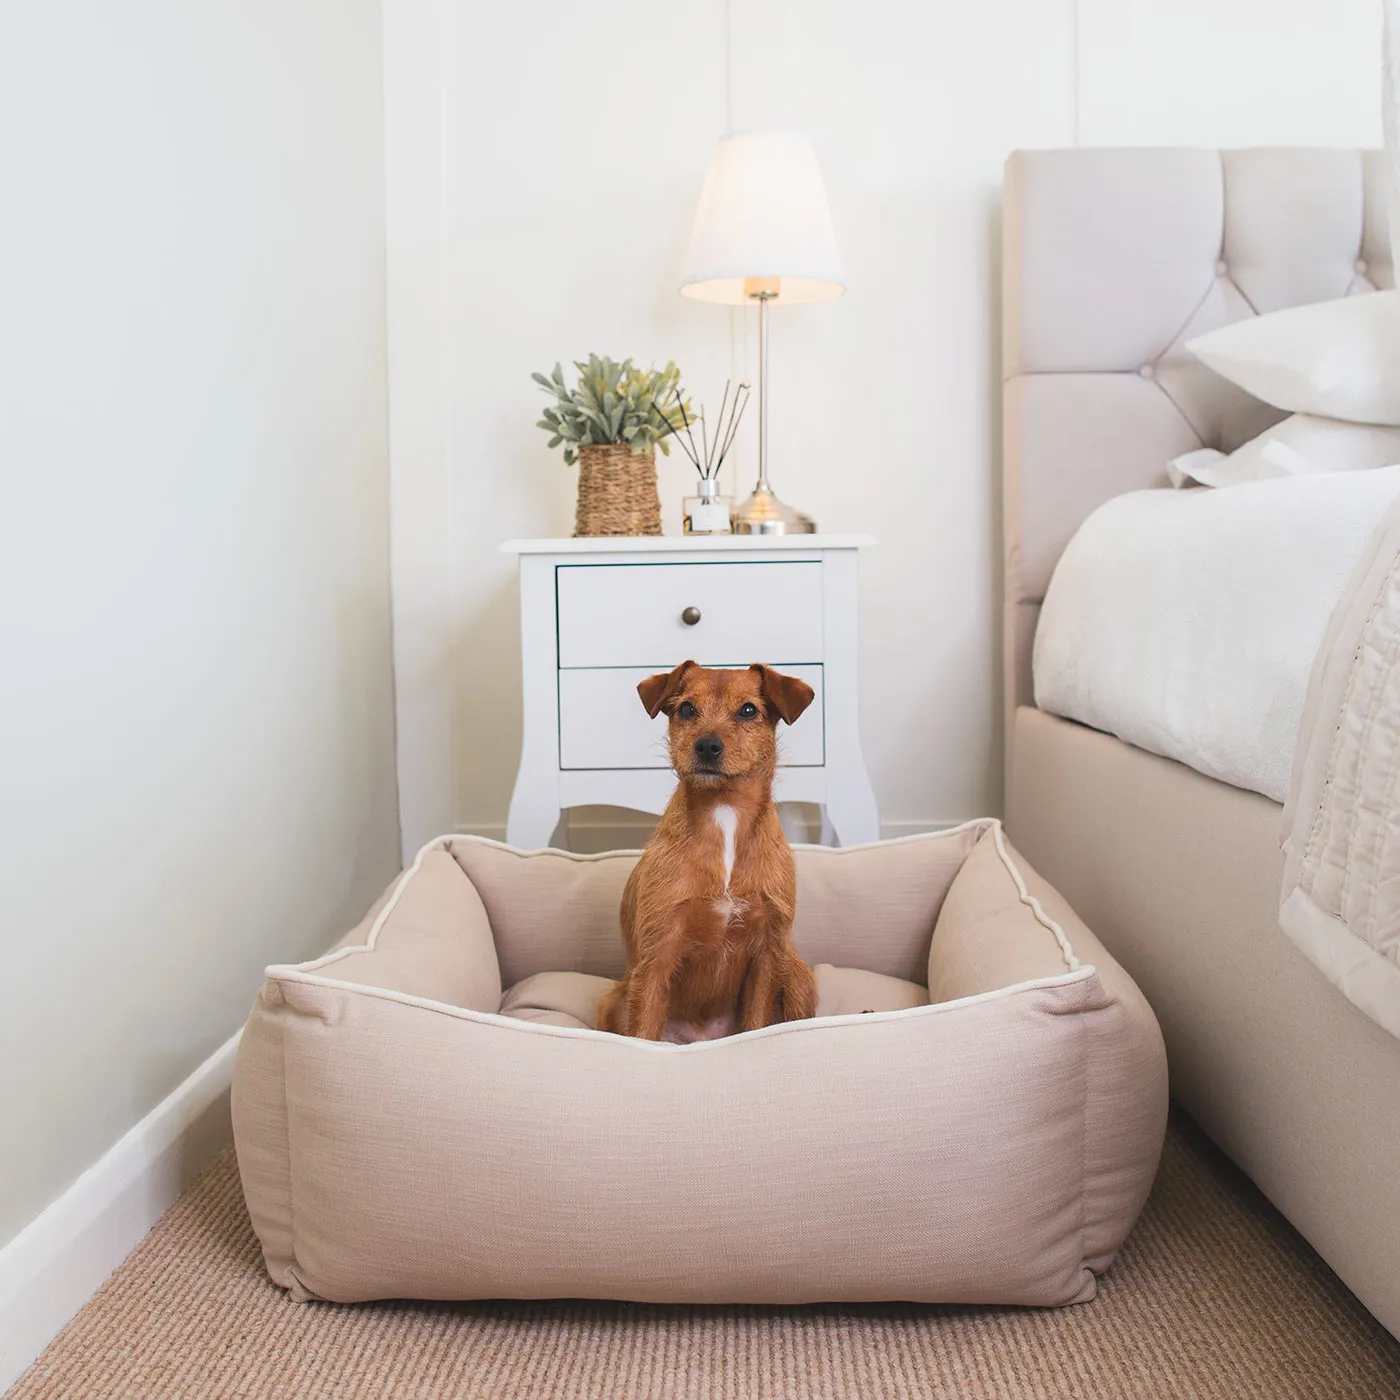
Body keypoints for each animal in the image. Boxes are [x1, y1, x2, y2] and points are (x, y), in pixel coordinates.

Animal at [593, 660, 817, 1047]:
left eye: (748, 710)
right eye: (686, 709)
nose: (707, 746)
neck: (723, 812)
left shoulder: (767, 954)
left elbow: (756, 1023)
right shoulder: (656, 957)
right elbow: (643, 1033)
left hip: (796, 970)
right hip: (613, 1000)